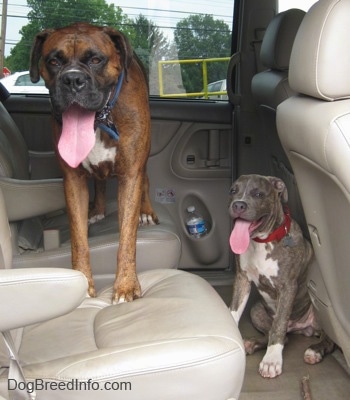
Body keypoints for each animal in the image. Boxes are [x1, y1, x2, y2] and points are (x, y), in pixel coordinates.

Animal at [30, 21, 159, 302]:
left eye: (96, 60)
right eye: (54, 60)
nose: (72, 79)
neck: (101, 120)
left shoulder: (130, 176)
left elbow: (127, 238)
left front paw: (125, 285)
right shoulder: (73, 180)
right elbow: (79, 240)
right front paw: (82, 283)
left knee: (145, 179)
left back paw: (145, 211)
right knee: (99, 181)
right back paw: (98, 210)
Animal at [230, 175, 334, 378]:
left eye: (258, 194)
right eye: (233, 190)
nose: (238, 205)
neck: (262, 241)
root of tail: (300, 328)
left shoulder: (288, 287)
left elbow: (278, 325)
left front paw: (271, 361)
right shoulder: (242, 279)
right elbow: (234, 311)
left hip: (320, 314)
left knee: (327, 340)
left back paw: (315, 350)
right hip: (256, 310)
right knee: (280, 336)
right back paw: (252, 343)